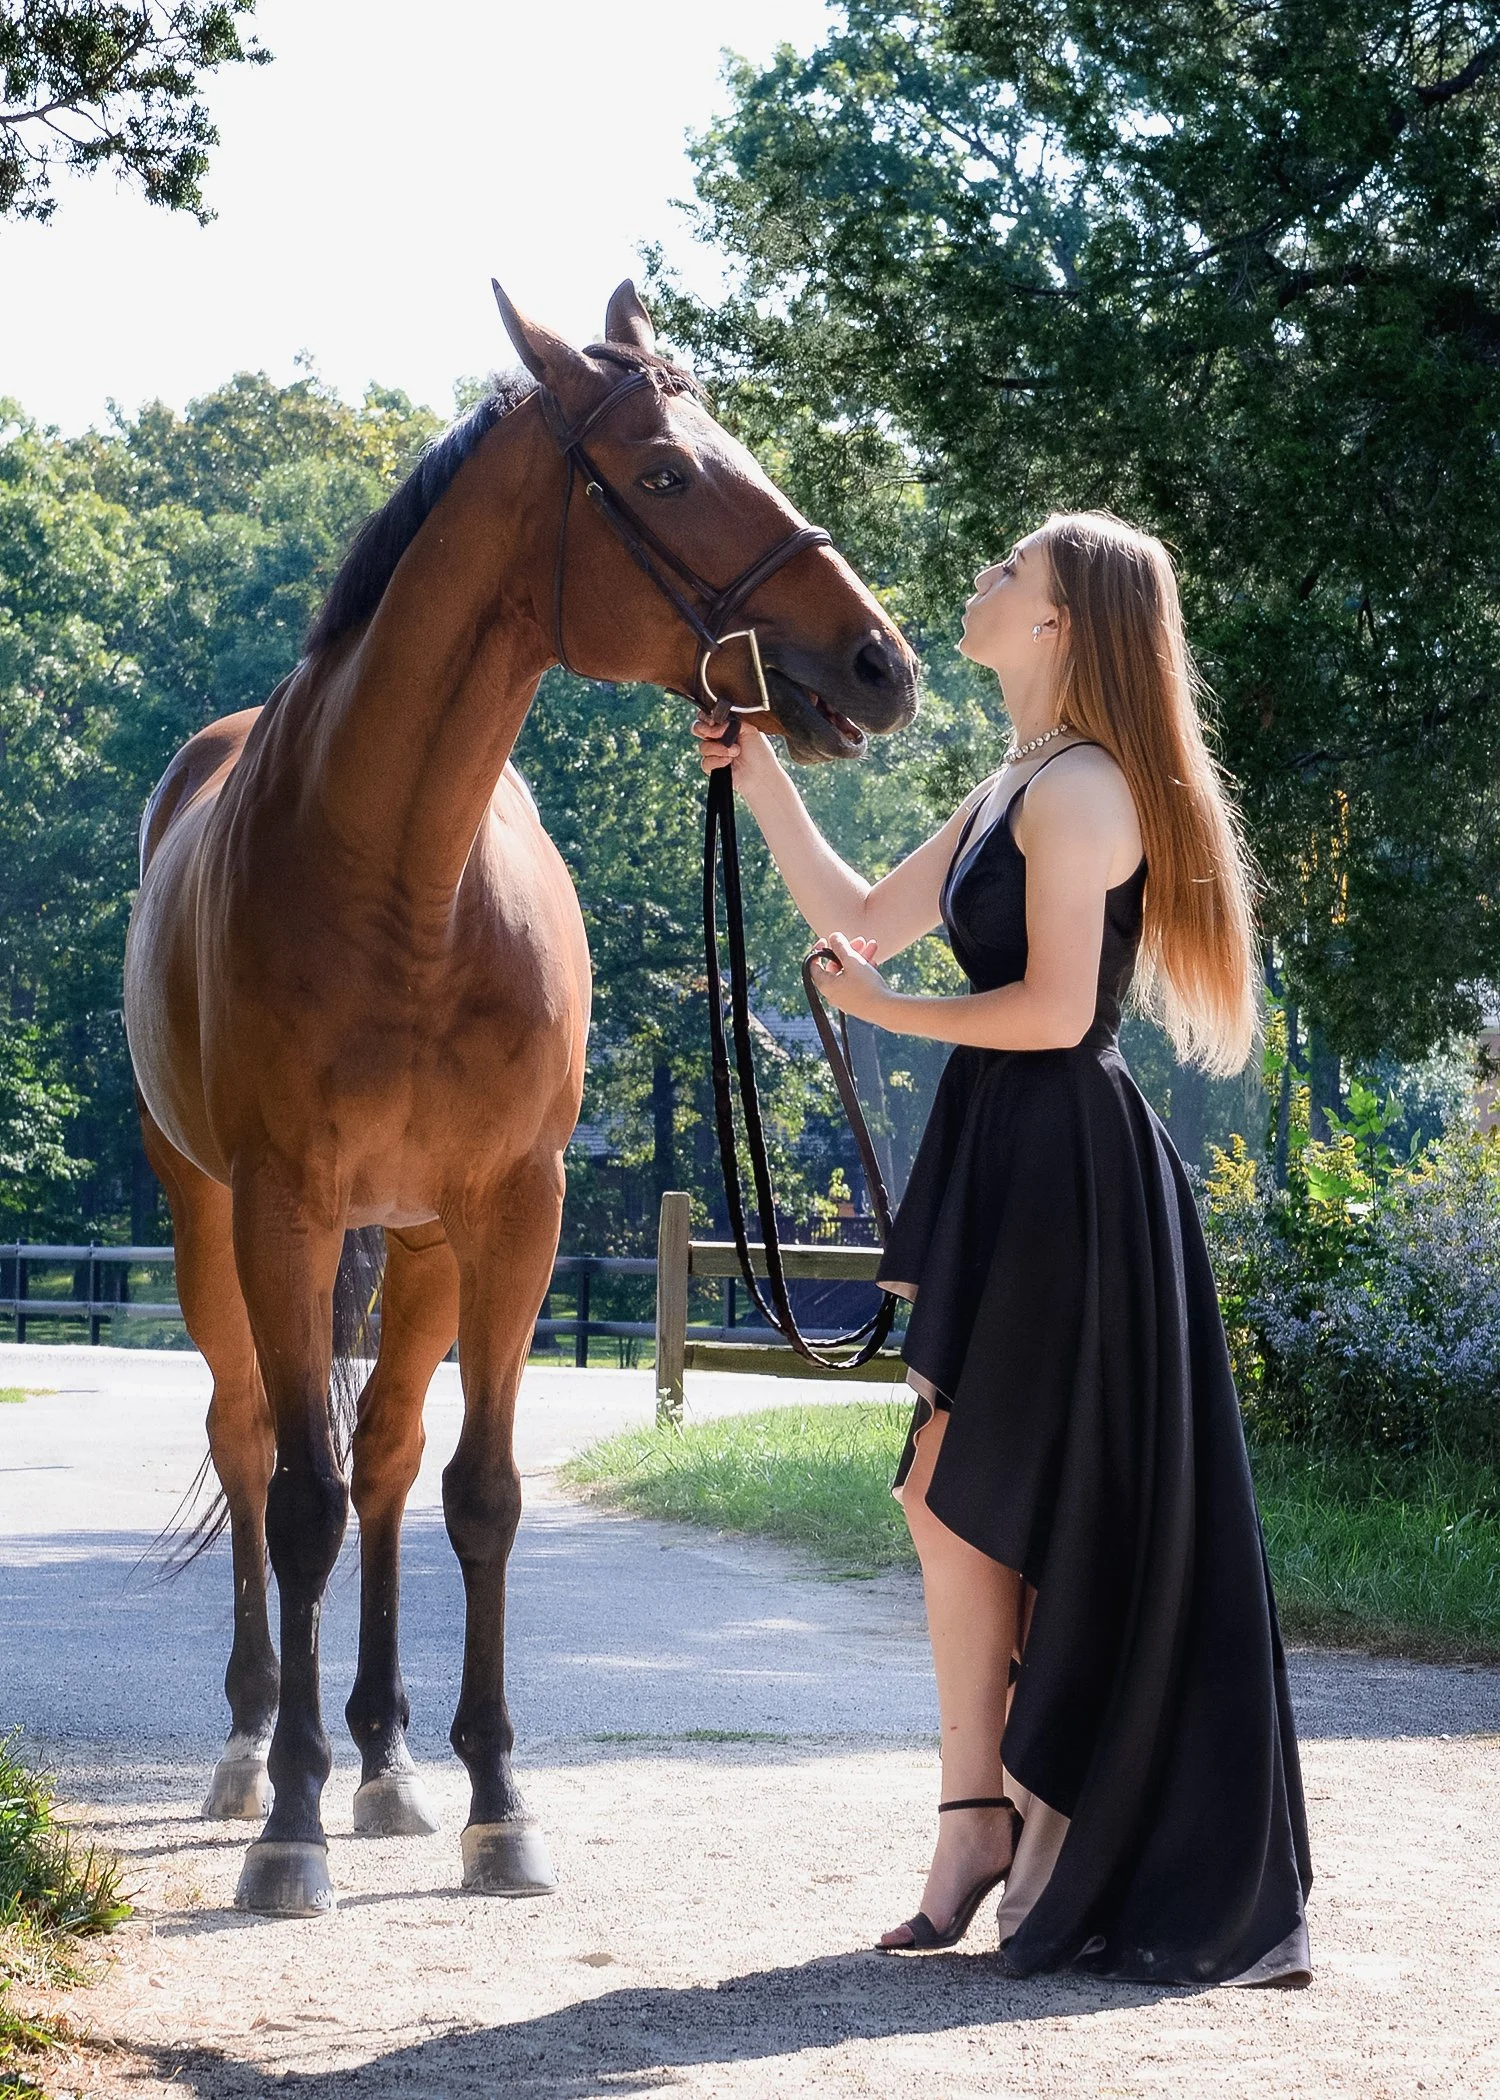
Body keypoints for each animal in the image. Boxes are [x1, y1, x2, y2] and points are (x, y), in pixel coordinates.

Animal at [123, 280, 919, 1916]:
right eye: (665, 475)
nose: (880, 661)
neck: (402, 884)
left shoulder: (515, 1213)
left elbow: (475, 1493)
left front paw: (495, 1801)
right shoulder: (286, 1210)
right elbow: (293, 1499)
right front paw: (290, 1822)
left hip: (423, 1244)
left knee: (384, 1459)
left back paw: (382, 1760)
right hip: (208, 1218)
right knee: (255, 1446)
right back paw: (257, 1752)